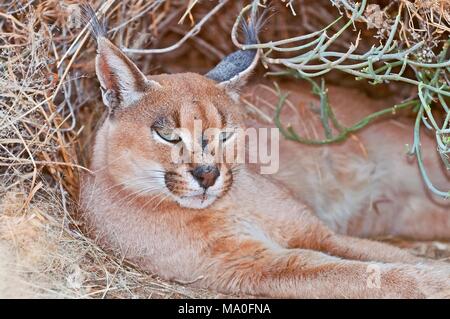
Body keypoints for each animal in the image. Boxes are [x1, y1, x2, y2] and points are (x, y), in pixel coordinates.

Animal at [81, 3, 450, 298]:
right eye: (168, 136)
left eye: (226, 135)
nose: (208, 174)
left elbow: (390, 258)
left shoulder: (316, 231)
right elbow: (357, 274)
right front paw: (435, 281)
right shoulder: (256, 265)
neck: (222, 209)